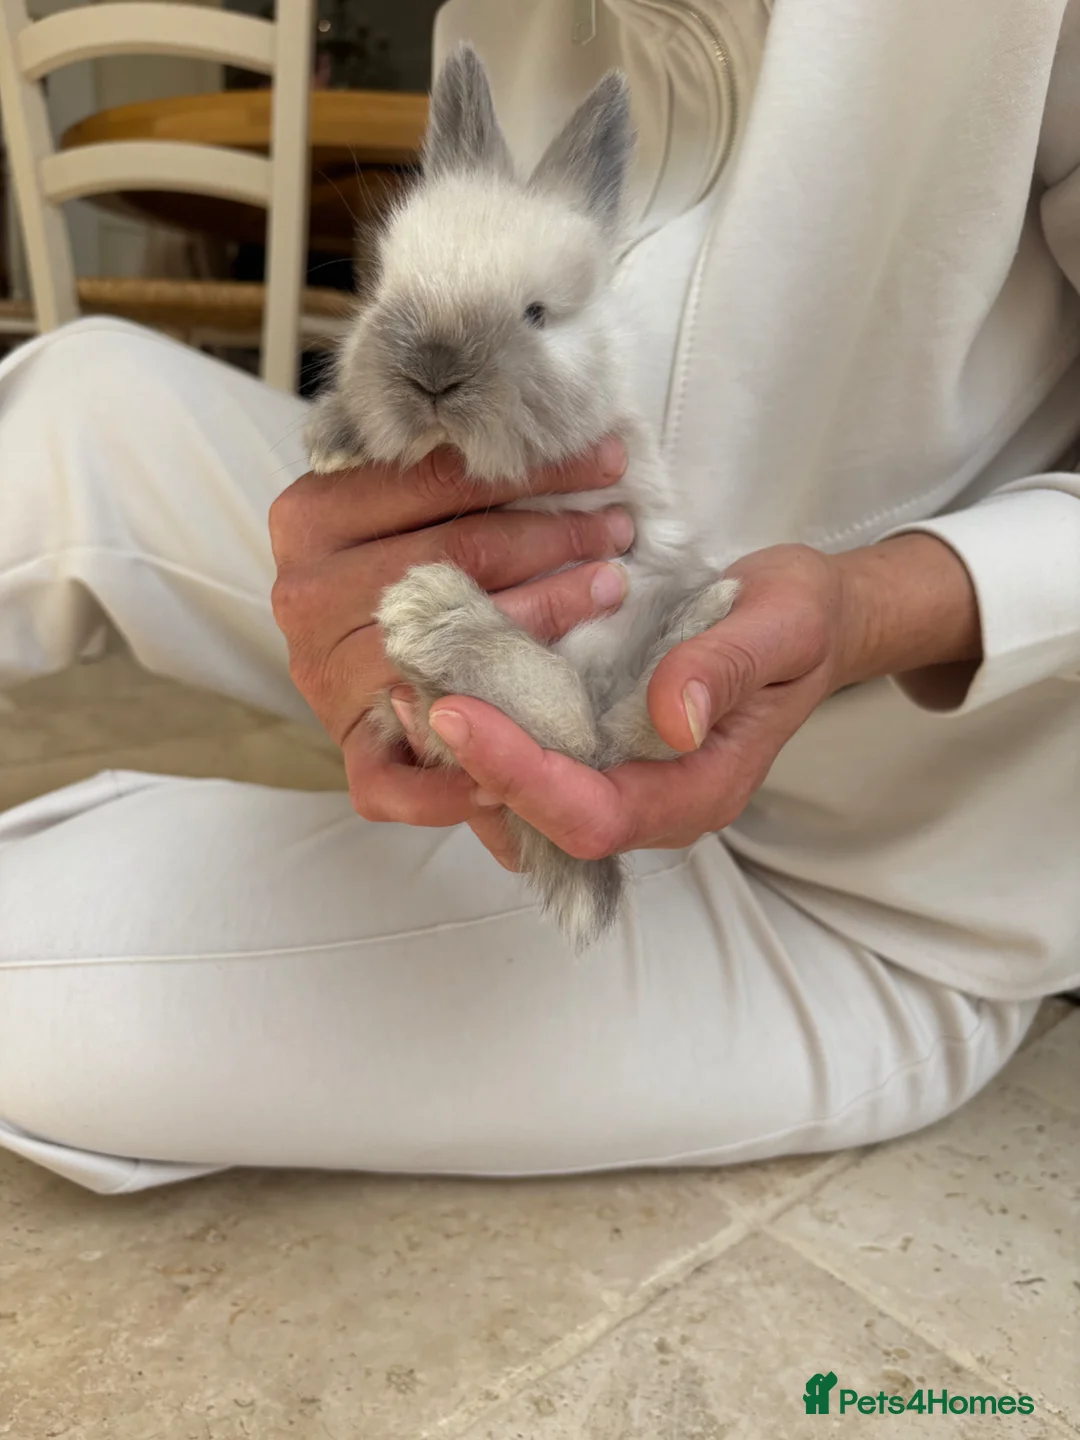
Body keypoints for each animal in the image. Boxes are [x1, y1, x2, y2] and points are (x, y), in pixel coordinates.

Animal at [306, 44, 738, 950]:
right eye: (389, 285)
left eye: (537, 314)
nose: (432, 375)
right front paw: (332, 441)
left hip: (628, 617)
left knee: (594, 733)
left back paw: (438, 615)